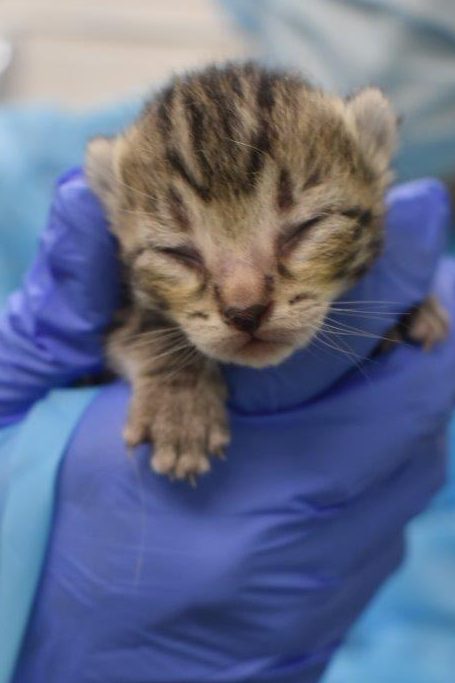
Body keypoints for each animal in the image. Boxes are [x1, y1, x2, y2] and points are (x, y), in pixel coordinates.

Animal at [85, 61, 448, 484]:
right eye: (177, 253)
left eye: (305, 228)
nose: (246, 312)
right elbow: (146, 325)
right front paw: (178, 407)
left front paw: (417, 311)